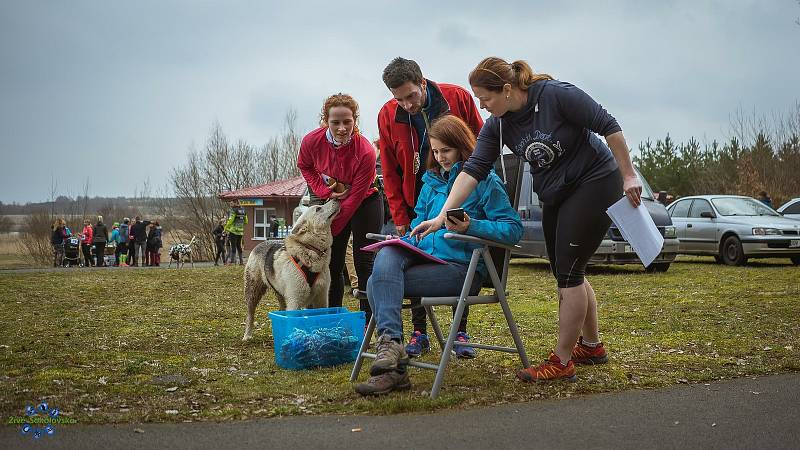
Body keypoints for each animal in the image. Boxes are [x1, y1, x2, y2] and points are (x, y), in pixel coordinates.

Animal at [238, 200, 338, 342]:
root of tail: (260, 244)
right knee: (250, 315)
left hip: (281, 296)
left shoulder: (322, 298)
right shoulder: (294, 300)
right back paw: (247, 335)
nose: (337, 200)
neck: (310, 250)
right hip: (253, 292)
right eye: (318, 208)